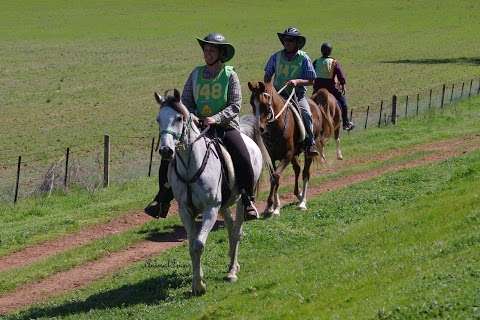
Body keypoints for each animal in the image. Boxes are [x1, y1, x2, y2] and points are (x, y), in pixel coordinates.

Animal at [248, 81, 334, 214]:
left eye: (264, 104)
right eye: (252, 103)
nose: (259, 128)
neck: (276, 127)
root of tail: (314, 103)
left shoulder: (287, 155)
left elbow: (276, 176)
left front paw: (274, 206)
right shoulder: (272, 157)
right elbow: (273, 178)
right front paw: (272, 206)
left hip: (307, 152)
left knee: (305, 173)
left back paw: (302, 202)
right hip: (294, 155)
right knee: (297, 169)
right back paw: (298, 194)